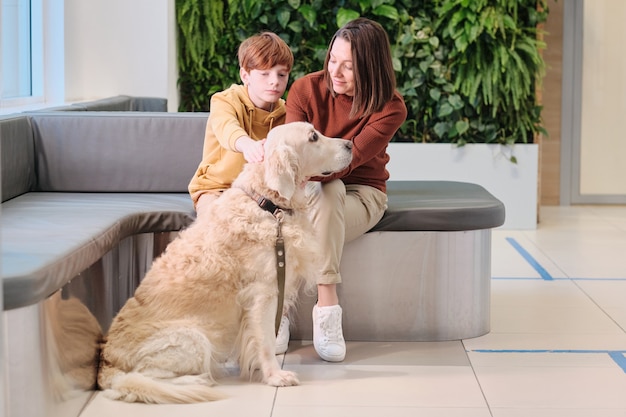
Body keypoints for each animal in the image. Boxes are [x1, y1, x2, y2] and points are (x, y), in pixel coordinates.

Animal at [96, 121, 352, 404]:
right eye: (313, 137)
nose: (350, 144)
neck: (268, 205)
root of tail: (106, 365)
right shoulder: (263, 294)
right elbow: (265, 341)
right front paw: (275, 376)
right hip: (193, 338)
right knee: (144, 378)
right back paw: (197, 379)